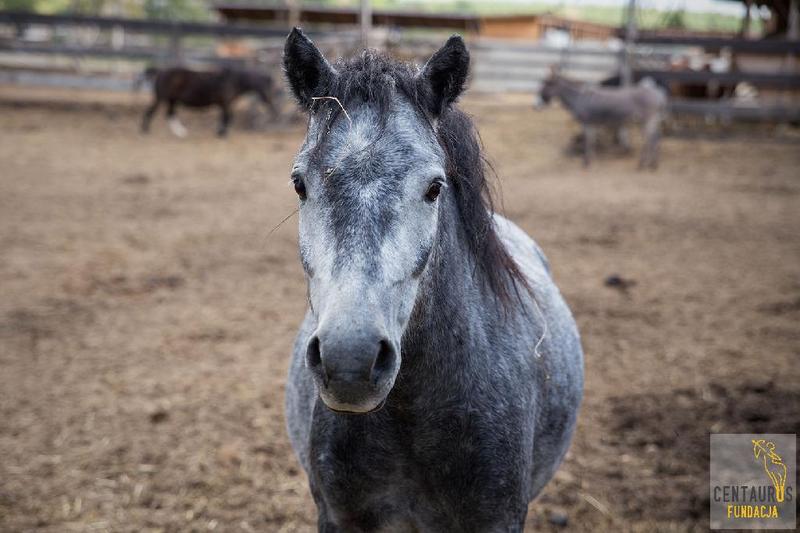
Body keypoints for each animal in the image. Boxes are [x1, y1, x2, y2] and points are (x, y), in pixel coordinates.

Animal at [141, 66, 282, 137]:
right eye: (268, 88)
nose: (274, 110)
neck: (234, 80)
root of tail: (160, 71)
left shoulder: (224, 104)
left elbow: (226, 117)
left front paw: (220, 132)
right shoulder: (225, 103)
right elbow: (228, 117)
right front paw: (221, 133)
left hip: (172, 100)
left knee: (169, 114)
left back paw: (181, 132)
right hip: (161, 98)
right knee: (150, 112)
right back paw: (145, 131)